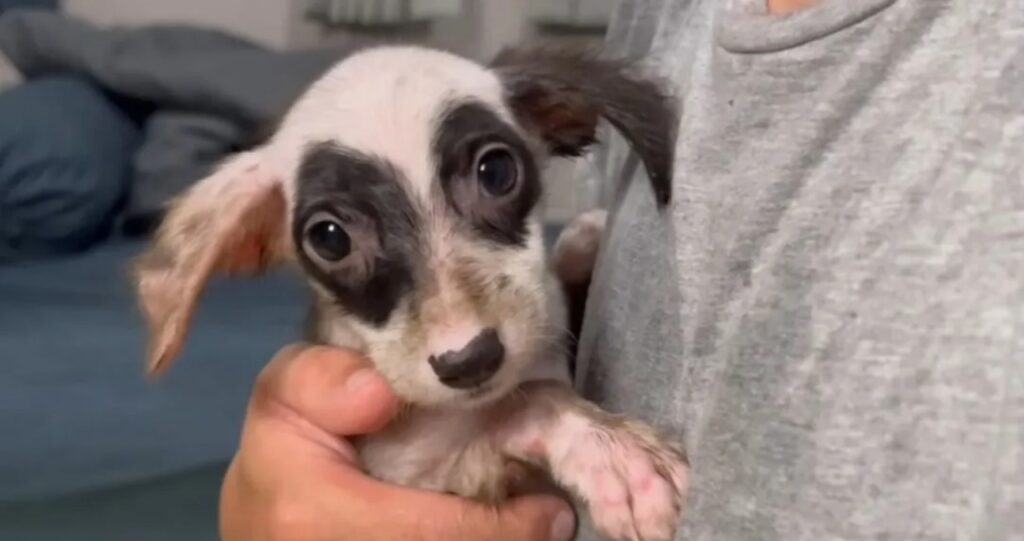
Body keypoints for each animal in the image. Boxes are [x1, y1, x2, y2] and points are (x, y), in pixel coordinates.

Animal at [130, 46, 688, 541]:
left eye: (497, 171)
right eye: (329, 238)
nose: (469, 361)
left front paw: (582, 241)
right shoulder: (424, 478)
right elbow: (527, 402)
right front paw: (613, 455)